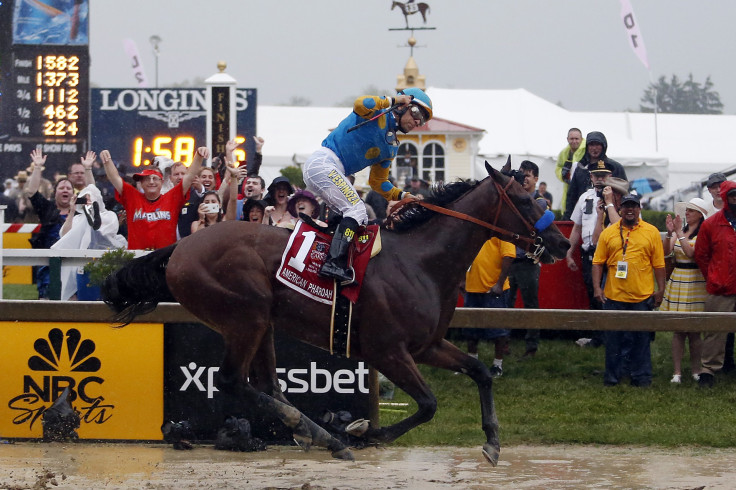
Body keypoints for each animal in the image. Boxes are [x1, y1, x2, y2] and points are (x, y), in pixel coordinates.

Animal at [102, 162, 568, 468]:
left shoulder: (428, 345)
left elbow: (480, 371)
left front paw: (492, 441)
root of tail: (181, 247)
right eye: (525, 198)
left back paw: (317, 433)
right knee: (236, 381)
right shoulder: (387, 351)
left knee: (268, 385)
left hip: (262, 322)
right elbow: (429, 404)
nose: (561, 243)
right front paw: (365, 432)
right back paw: (325, 435)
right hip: (244, 317)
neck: (420, 262)